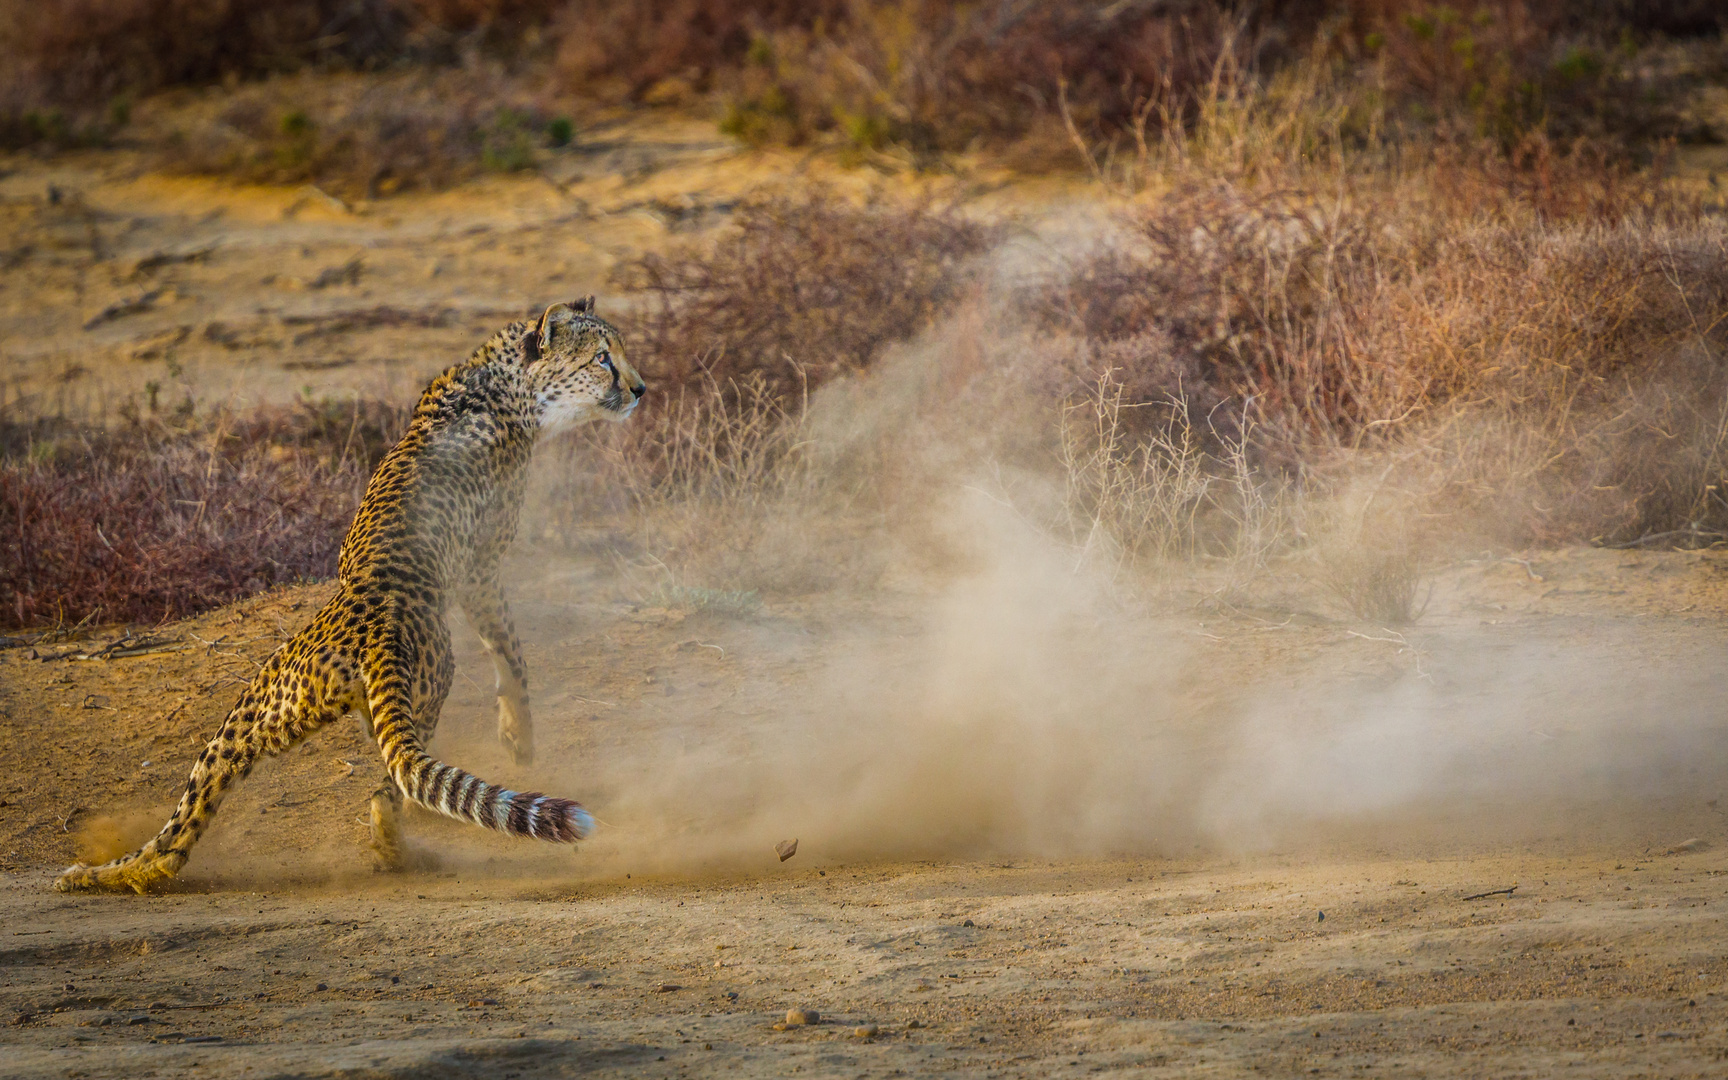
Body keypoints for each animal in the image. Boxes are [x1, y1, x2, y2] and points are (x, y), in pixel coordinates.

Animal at [55, 297, 649, 891]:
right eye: (603, 358)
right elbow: (511, 653)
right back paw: (398, 855)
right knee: (390, 792)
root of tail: (375, 624)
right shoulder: (481, 570)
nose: (641, 389)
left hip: (254, 719)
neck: (503, 382)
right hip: (419, 695)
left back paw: (106, 874)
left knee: (182, 831)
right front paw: (519, 736)